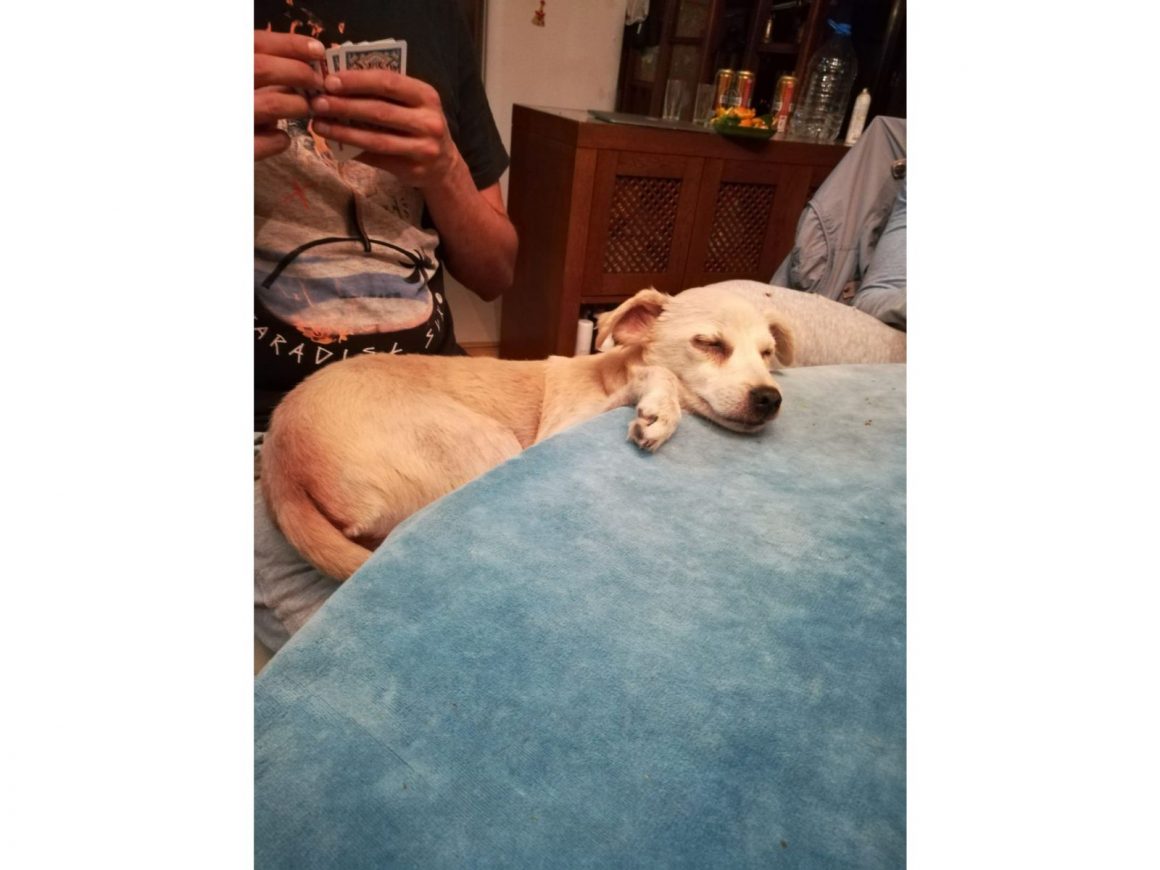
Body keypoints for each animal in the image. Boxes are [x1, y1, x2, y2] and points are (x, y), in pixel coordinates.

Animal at [260, 284, 796, 580]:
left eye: (768, 353)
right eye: (708, 343)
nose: (770, 399)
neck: (608, 371)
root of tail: (279, 470)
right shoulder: (561, 427)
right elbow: (657, 377)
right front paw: (660, 411)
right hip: (486, 442)